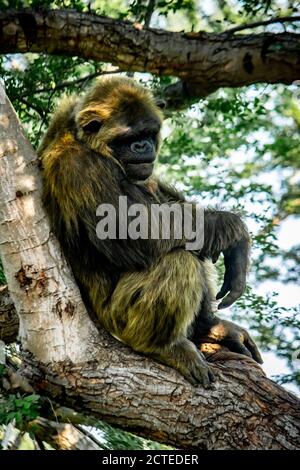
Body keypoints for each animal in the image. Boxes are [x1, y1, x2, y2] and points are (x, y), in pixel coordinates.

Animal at [39, 76, 262, 386]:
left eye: (148, 132)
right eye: (127, 137)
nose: (142, 145)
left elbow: (162, 196)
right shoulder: (78, 168)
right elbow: (133, 229)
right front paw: (233, 229)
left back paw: (209, 327)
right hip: (118, 317)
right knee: (178, 261)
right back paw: (164, 346)